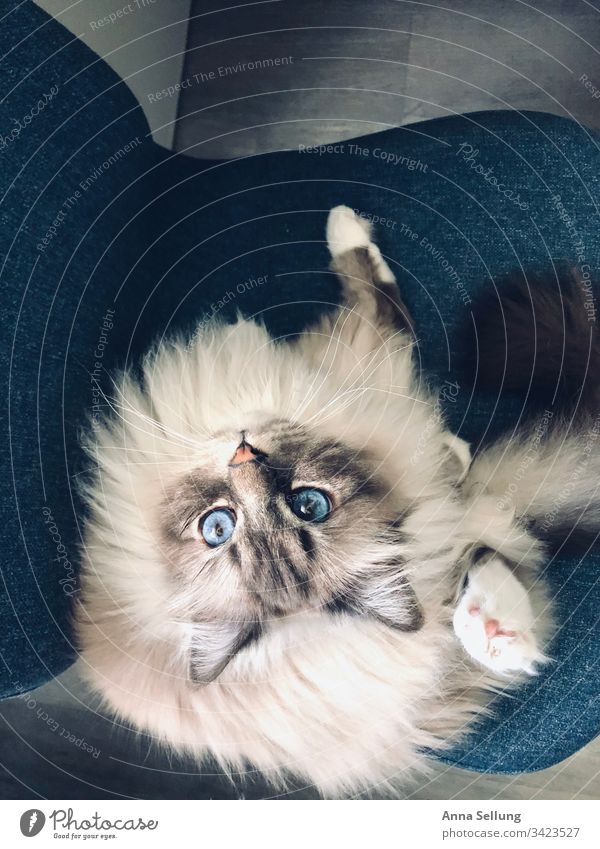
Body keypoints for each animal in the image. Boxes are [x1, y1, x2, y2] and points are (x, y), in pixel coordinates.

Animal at [77, 204, 596, 796]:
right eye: (219, 527)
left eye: (308, 506)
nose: (242, 451)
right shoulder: (363, 365)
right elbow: (371, 287)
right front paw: (344, 224)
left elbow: (373, 290)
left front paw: (342, 224)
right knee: (496, 567)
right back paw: (494, 628)